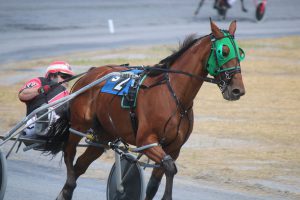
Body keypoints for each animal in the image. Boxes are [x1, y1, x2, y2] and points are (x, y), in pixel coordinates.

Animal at [50, 20, 245, 200]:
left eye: (240, 52)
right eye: (224, 51)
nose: (238, 90)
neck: (173, 95)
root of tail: (90, 73)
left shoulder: (174, 147)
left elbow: (155, 182)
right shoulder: (146, 141)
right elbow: (170, 167)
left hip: (105, 134)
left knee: (81, 164)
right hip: (79, 125)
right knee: (69, 153)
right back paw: (68, 187)